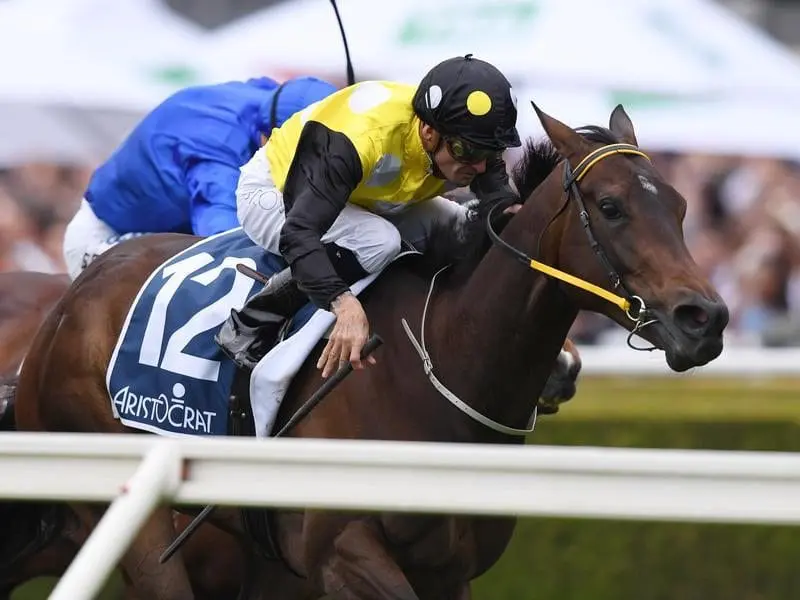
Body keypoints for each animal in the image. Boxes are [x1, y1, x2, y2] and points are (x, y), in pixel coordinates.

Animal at [10, 105, 724, 596]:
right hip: (138, 529)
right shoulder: (343, 553)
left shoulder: (447, 570)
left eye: (682, 206)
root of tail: (72, 300)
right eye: (610, 206)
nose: (706, 319)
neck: (442, 363)